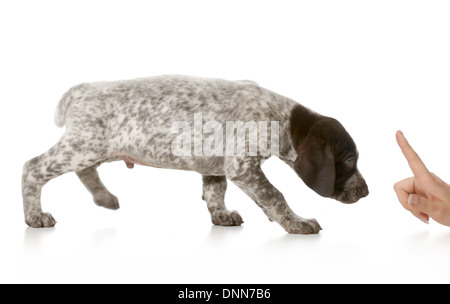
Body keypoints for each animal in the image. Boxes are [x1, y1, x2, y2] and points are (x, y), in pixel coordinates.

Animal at [21, 75, 368, 234]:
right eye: (349, 161)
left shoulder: (215, 164)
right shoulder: (243, 166)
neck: (280, 117)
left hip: (95, 147)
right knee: (32, 167)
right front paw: (296, 222)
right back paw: (34, 216)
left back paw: (104, 197)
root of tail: (82, 89)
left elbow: (214, 192)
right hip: (83, 146)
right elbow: (274, 195)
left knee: (85, 171)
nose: (365, 192)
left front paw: (221, 216)